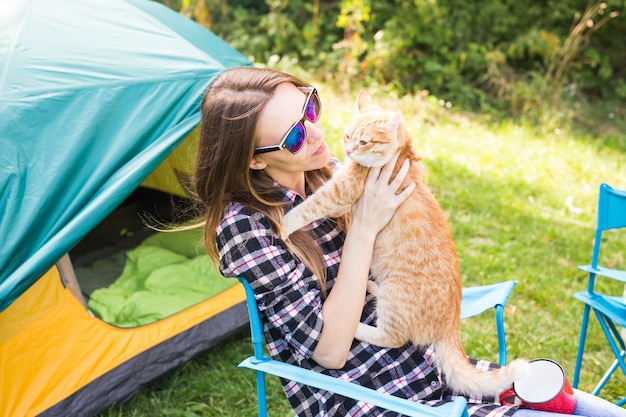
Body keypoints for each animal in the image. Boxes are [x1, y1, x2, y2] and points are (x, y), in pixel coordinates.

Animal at [282, 89, 528, 394]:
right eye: (347, 136)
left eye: (364, 141)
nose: (349, 151)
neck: (400, 156)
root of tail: (452, 322)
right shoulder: (345, 202)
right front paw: (330, 163)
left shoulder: (342, 192)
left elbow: (310, 205)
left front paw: (284, 224)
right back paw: (371, 287)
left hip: (395, 299)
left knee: (394, 337)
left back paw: (359, 327)